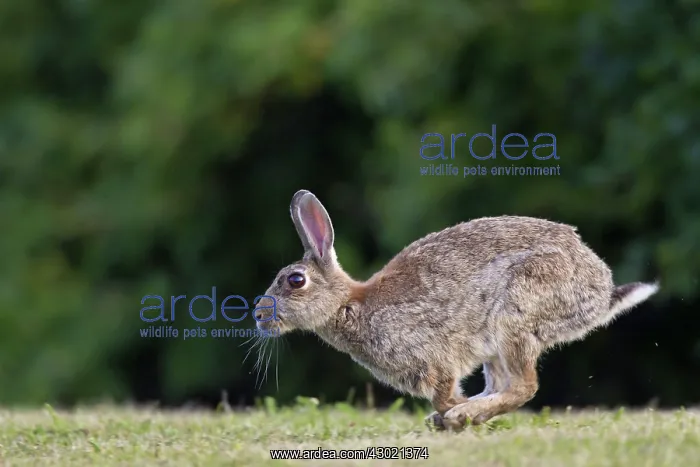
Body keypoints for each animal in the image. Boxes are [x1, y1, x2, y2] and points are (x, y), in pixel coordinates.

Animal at [255, 189, 659, 431]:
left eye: (295, 281)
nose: (258, 315)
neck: (349, 305)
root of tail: (600, 289)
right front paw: (449, 416)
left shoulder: (434, 361)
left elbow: (444, 392)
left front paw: (455, 413)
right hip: (495, 343)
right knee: (504, 384)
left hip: (516, 312)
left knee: (524, 385)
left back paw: (465, 414)